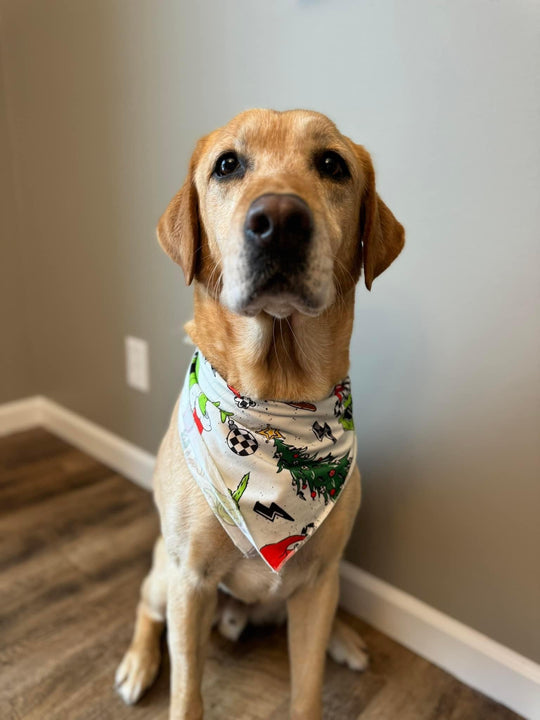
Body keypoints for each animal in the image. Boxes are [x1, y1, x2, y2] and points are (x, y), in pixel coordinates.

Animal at [114, 108, 402, 720]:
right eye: (227, 164)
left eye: (332, 164)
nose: (280, 221)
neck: (276, 398)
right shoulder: (190, 581)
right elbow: (187, 695)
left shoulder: (317, 582)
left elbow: (308, 691)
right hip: (163, 573)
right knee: (146, 608)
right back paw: (137, 663)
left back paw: (345, 639)